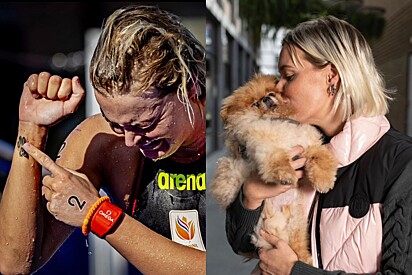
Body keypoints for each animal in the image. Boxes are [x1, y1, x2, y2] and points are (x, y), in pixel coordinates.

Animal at [211, 74, 336, 268]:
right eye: (255, 103)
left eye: (271, 92)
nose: (266, 98)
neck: (278, 118)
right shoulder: (264, 142)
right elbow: (277, 158)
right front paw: (286, 174)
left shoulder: (308, 145)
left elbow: (320, 156)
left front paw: (324, 180)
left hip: (296, 226)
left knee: (297, 246)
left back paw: (304, 260)